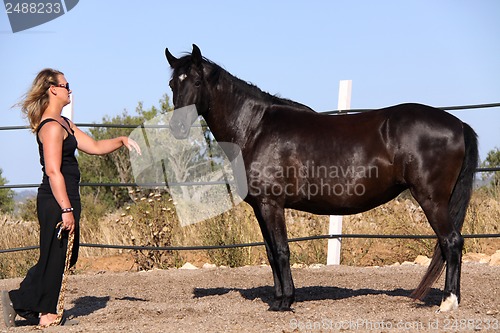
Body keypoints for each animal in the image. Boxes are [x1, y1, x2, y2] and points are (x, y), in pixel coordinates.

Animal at [165, 44, 476, 312]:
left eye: (196, 82)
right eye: (172, 85)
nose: (177, 128)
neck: (256, 129)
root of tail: (458, 123)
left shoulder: (271, 204)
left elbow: (281, 251)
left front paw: (285, 301)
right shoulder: (260, 207)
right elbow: (270, 253)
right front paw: (277, 299)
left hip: (431, 199)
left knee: (452, 242)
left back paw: (448, 302)